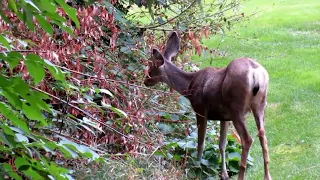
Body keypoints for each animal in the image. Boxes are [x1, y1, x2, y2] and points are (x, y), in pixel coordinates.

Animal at [144, 31, 272, 179]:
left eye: (151, 67)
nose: (145, 81)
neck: (189, 87)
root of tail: (255, 73)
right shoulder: (224, 117)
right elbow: (222, 144)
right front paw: (224, 174)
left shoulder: (200, 109)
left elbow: (201, 142)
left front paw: (197, 167)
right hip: (260, 105)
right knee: (262, 135)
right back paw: (267, 176)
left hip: (236, 107)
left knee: (247, 139)